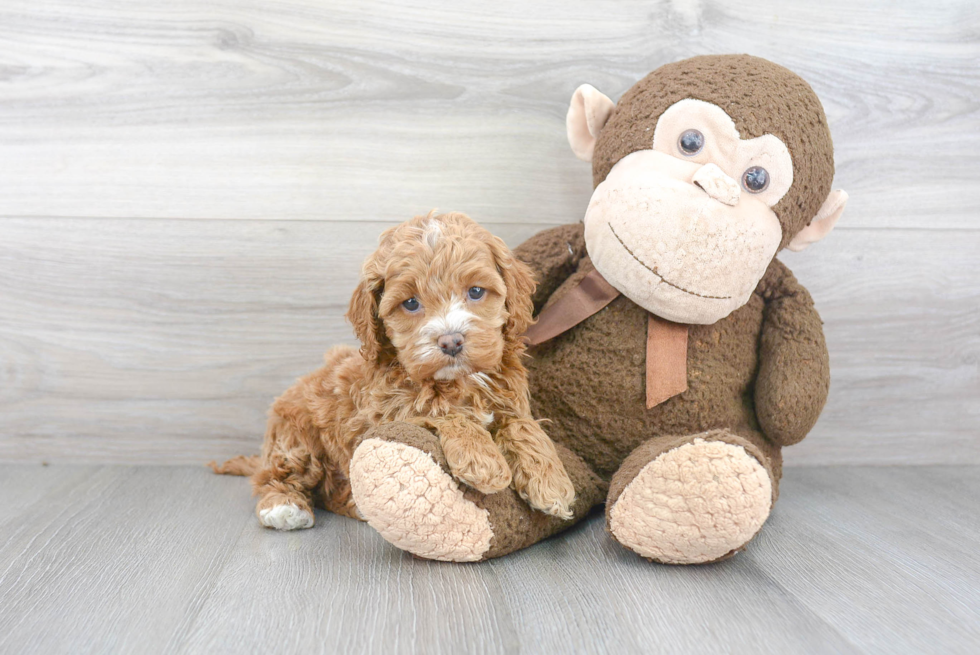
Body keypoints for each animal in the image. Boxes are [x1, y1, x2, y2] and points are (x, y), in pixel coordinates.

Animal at [212, 213, 576, 532]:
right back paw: (283, 507)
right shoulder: (387, 412)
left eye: (475, 292)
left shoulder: (509, 400)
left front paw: (552, 483)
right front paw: (482, 461)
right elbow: (444, 412)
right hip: (296, 438)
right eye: (411, 303)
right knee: (275, 476)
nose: (451, 341)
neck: (459, 380)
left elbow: (523, 425)